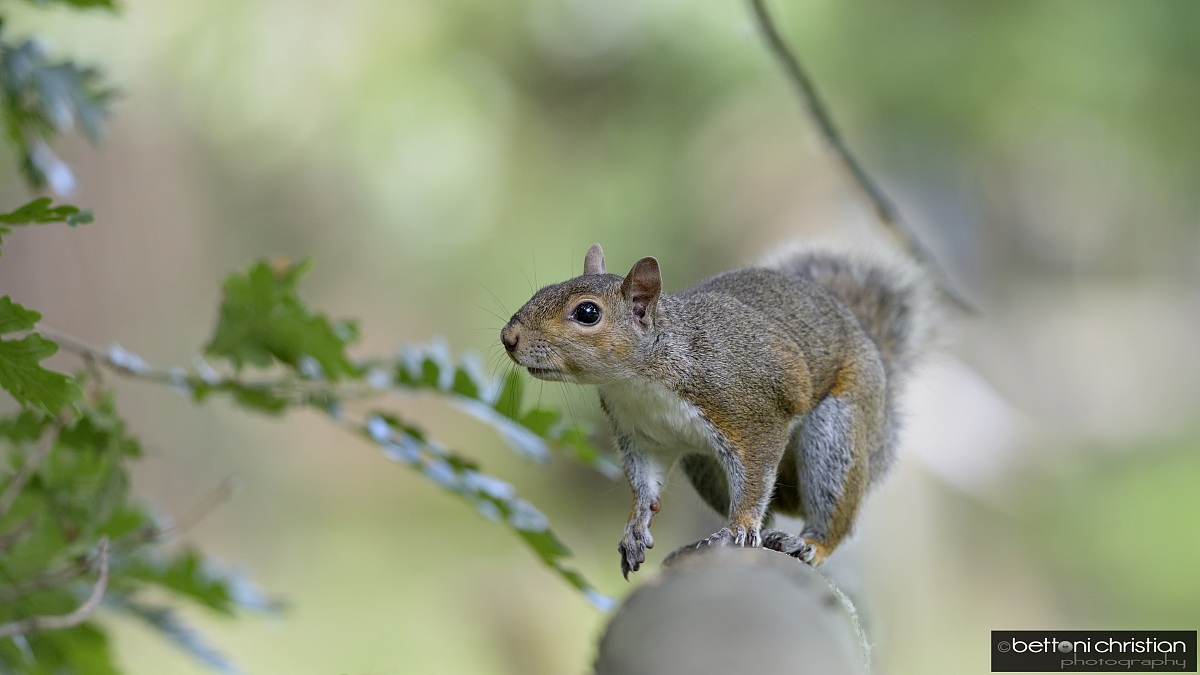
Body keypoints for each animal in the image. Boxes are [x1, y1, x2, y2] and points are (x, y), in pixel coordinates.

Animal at [500, 241, 939, 578]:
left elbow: (755, 478)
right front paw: (635, 528)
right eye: (545, 289)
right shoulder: (643, 436)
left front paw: (737, 529)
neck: (640, 378)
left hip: (835, 429)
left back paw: (809, 543)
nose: (508, 337)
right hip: (703, 463)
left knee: (832, 509)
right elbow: (645, 487)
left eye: (587, 312)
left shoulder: (754, 414)